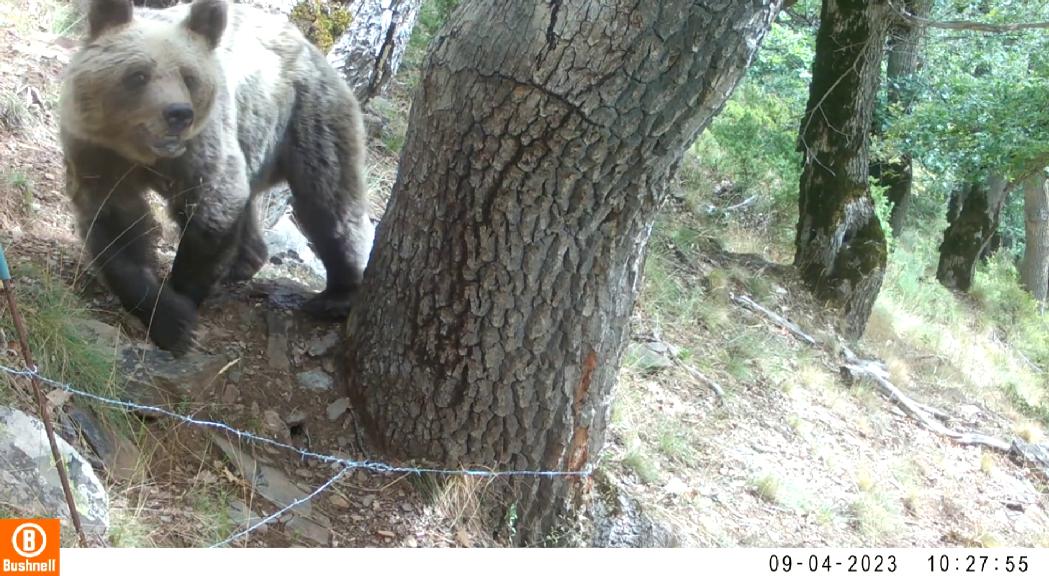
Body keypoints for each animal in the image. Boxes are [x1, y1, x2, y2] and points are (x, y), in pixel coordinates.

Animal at [60, 0, 373, 352]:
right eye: (138, 74)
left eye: (189, 76)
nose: (178, 114)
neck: (143, 154)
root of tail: (312, 50)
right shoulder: (97, 153)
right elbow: (116, 224)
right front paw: (167, 317)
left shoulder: (202, 146)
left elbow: (214, 206)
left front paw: (183, 299)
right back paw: (243, 263)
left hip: (306, 118)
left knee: (328, 202)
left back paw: (337, 295)